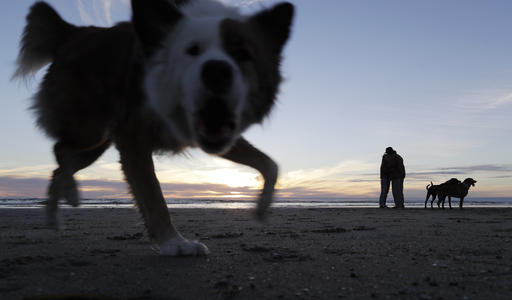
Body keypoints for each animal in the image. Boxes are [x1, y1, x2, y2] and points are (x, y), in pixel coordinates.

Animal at [14, 0, 294, 255]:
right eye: (191, 50)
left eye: (242, 53)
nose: (217, 71)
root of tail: (73, 31)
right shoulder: (133, 136)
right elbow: (152, 194)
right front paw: (174, 243)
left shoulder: (215, 132)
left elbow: (270, 164)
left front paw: (262, 208)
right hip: (91, 128)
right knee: (61, 151)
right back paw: (71, 194)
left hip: (96, 140)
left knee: (61, 163)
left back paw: (56, 212)